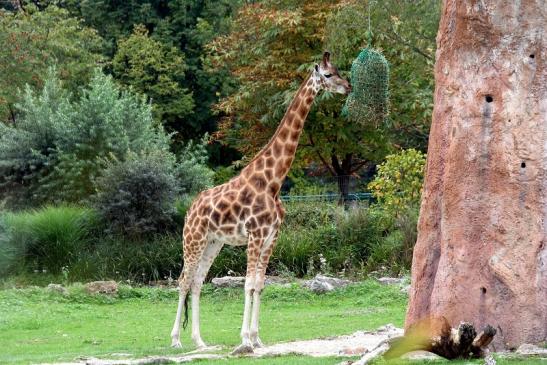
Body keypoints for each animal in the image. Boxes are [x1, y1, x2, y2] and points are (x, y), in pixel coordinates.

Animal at [171, 51, 352, 352]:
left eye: (339, 70)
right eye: (328, 75)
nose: (347, 87)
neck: (273, 182)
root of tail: (190, 210)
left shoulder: (271, 237)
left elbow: (260, 284)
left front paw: (257, 338)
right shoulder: (255, 235)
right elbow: (247, 284)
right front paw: (245, 339)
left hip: (213, 243)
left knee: (196, 282)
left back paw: (200, 341)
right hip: (193, 239)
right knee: (184, 280)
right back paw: (175, 340)